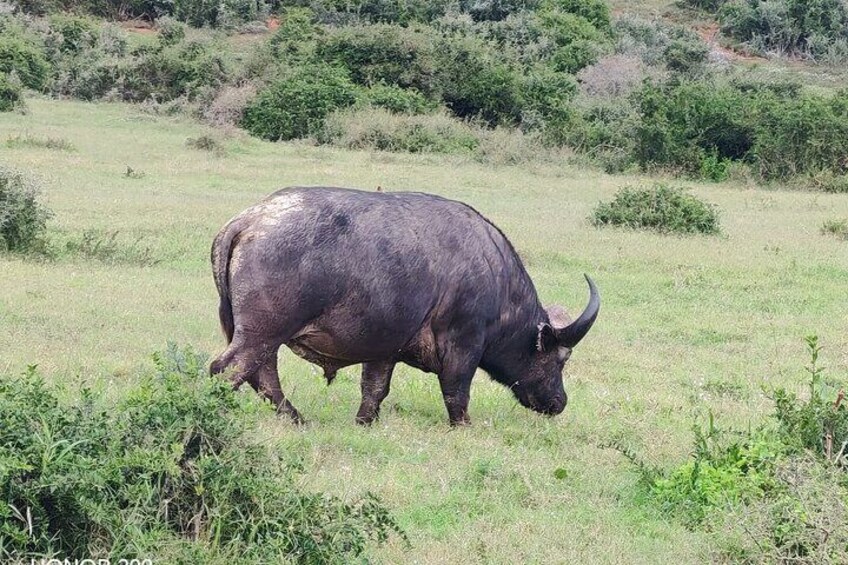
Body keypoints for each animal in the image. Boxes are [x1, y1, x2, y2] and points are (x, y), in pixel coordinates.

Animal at [210, 186, 599, 425]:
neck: (497, 281)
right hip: (262, 333)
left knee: (262, 376)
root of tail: (248, 221)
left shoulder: (385, 348)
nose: (559, 403)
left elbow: (374, 389)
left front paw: (365, 422)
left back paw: (296, 418)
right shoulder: (464, 343)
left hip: (259, 336)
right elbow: (457, 391)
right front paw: (465, 426)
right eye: (561, 358)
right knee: (229, 370)